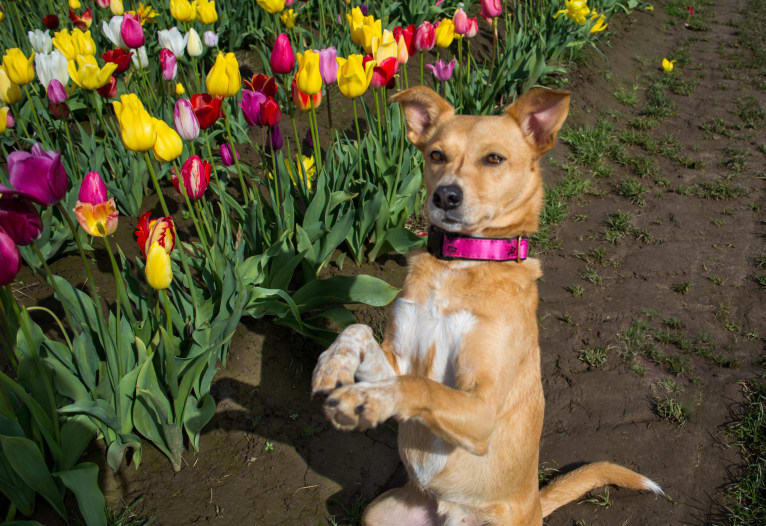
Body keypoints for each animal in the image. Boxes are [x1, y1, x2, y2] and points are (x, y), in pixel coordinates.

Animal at [308, 87, 664, 526]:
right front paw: (331, 364)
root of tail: (535, 503)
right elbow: (357, 332)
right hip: (377, 513)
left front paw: (365, 400)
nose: (445, 195)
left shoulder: (480, 408)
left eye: (493, 158)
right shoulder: (398, 358)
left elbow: (422, 386)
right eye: (436, 154)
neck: (462, 263)